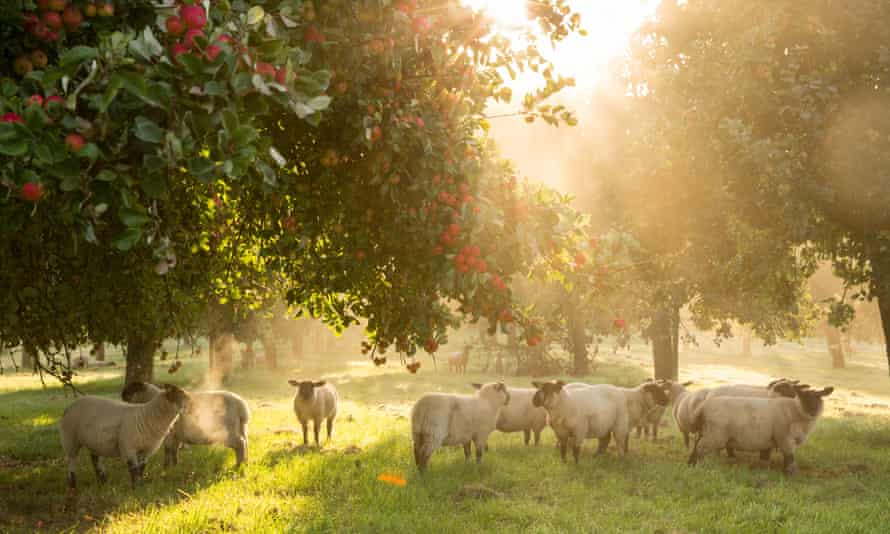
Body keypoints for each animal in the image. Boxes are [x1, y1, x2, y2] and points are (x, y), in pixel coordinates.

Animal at [59, 386, 189, 490]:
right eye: (180, 396)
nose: (190, 403)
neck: (148, 416)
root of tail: (69, 406)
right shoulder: (129, 447)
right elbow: (133, 469)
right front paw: (135, 488)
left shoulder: (146, 450)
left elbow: (141, 467)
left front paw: (140, 485)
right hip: (70, 439)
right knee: (71, 462)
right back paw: (73, 485)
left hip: (95, 441)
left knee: (95, 460)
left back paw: (102, 480)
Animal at [119, 382, 248, 468]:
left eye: (131, 389)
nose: (121, 394)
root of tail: (241, 405)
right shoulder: (176, 437)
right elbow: (174, 452)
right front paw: (175, 467)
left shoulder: (169, 436)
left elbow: (167, 451)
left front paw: (165, 468)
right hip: (240, 429)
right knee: (245, 443)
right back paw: (245, 462)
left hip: (227, 432)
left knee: (240, 444)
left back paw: (238, 465)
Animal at [688, 388, 832, 476]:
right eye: (803, 397)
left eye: (819, 398)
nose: (812, 411)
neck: (794, 411)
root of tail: (704, 406)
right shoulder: (784, 438)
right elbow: (790, 457)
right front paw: (791, 474)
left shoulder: (769, 439)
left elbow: (766, 457)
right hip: (715, 435)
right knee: (700, 448)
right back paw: (696, 466)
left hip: (707, 431)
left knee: (696, 445)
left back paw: (690, 464)